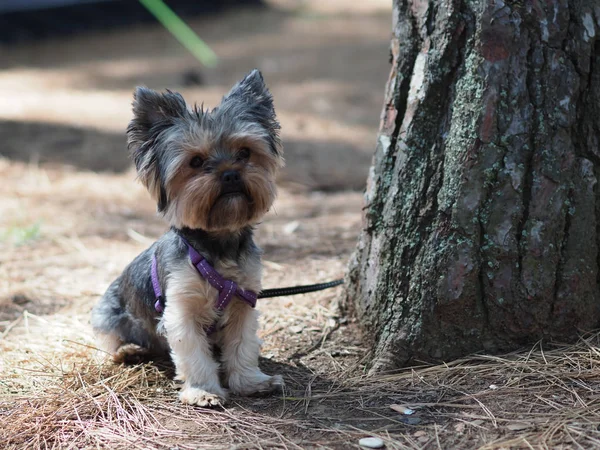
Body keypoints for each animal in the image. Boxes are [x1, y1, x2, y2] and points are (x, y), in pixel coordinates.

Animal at [90, 69, 284, 408]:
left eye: (245, 152)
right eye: (195, 161)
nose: (230, 173)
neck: (218, 245)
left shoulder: (243, 301)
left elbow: (242, 345)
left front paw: (251, 382)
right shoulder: (181, 308)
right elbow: (193, 353)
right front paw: (204, 391)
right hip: (109, 314)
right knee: (107, 340)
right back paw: (127, 351)